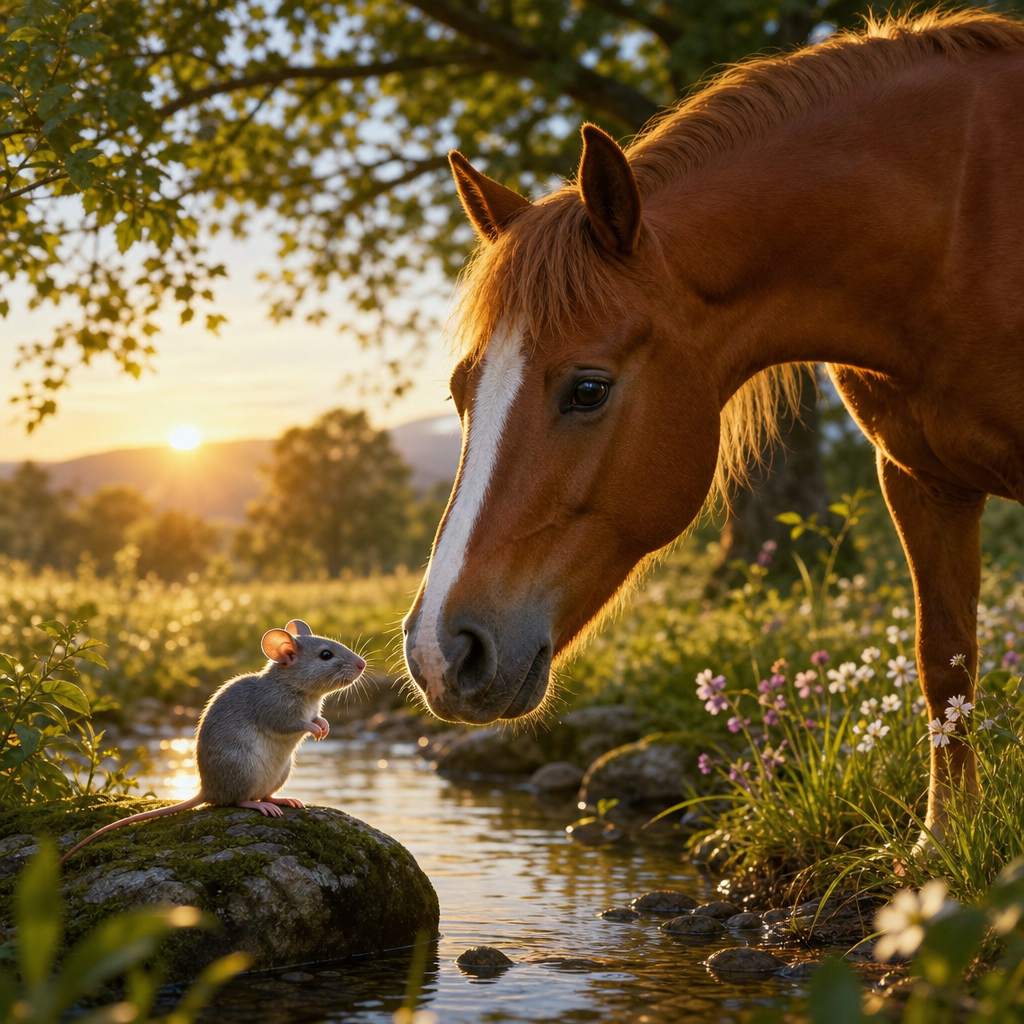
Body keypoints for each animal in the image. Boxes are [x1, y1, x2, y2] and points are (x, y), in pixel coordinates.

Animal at [403, 9, 1024, 844]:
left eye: (588, 389)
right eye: (460, 392)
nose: (441, 653)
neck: (959, 227)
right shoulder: (918, 478)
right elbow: (945, 660)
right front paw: (942, 843)